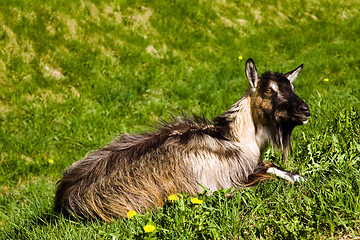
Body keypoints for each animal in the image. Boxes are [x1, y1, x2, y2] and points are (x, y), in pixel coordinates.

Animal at [53, 58, 310, 221]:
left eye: (291, 86)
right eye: (268, 90)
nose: (305, 110)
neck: (236, 139)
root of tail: (64, 200)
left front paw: (301, 177)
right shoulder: (221, 182)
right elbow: (266, 171)